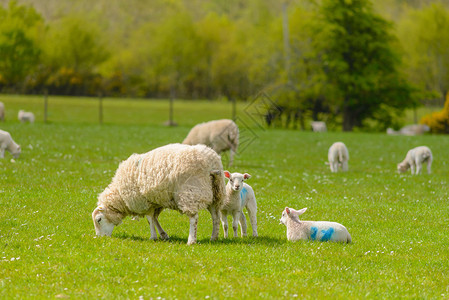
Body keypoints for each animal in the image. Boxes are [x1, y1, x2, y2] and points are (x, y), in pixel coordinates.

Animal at [91, 143, 226, 244]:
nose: (100, 238)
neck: (120, 196)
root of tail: (211, 162)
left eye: (99, 219)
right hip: (216, 192)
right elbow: (154, 218)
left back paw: (191, 240)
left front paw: (153, 237)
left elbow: (150, 219)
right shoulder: (155, 201)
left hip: (190, 192)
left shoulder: (143, 201)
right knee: (215, 216)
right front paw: (163, 235)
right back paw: (214, 237)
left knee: (194, 218)